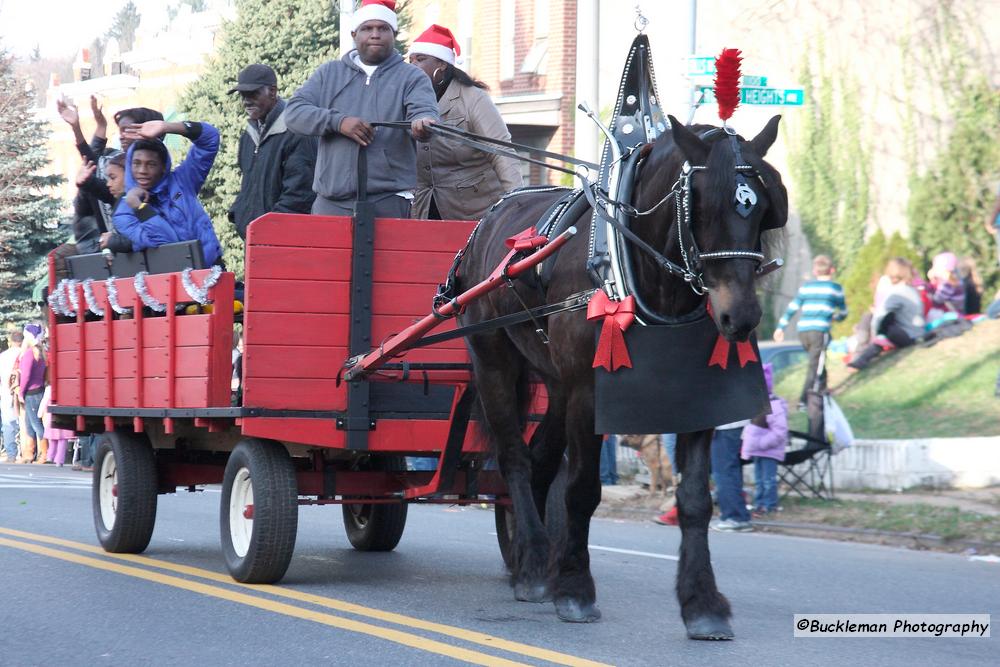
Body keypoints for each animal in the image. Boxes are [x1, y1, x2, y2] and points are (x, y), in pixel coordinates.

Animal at [456, 117, 788, 640]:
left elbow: (696, 499)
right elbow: (582, 489)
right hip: (495, 361)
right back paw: (534, 566)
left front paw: (702, 603)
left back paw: (530, 556)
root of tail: (487, 221)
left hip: (556, 384)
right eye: (701, 205)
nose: (741, 317)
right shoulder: (589, 393)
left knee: (540, 459)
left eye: (760, 208)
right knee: (515, 459)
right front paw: (575, 589)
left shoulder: (698, 395)